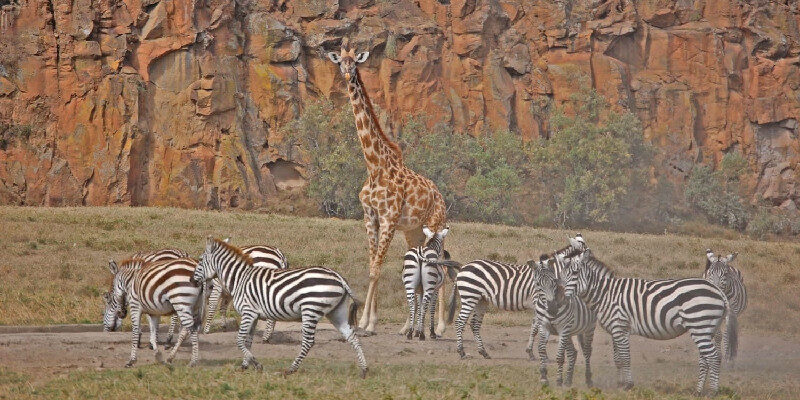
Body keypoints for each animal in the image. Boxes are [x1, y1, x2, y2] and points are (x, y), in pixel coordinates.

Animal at [194, 236, 368, 376]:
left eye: (201, 260)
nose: (193, 279)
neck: (240, 278)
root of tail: (339, 277)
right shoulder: (253, 315)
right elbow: (248, 340)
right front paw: (245, 365)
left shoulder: (248, 311)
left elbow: (239, 339)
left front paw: (257, 365)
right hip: (336, 312)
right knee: (351, 336)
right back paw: (364, 369)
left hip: (310, 310)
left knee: (308, 342)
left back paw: (291, 369)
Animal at [326, 46, 450, 334]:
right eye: (340, 62)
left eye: (354, 62)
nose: (347, 74)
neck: (374, 166)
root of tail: (440, 196)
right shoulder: (370, 216)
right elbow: (373, 265)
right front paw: (370, 320)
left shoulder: (389, 218)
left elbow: (376, 268)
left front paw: (365, 322)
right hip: (414, 232)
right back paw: (407, 327)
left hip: (435, 225)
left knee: (441, 267)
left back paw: (439, 327)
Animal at [560, 236, 736, 396]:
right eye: (561, 272)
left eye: (575, 272)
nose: (560, 296)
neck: (605, 293)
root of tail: (718, 291)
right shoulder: (617, 330)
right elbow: (618, 358)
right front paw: (621, 384)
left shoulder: (620, 326)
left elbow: (625, 357)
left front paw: (628, 385)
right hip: (708, 329)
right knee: (705, 359)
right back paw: (698, 391)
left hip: (699, 325)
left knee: (713, 357)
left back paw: (713, 392)